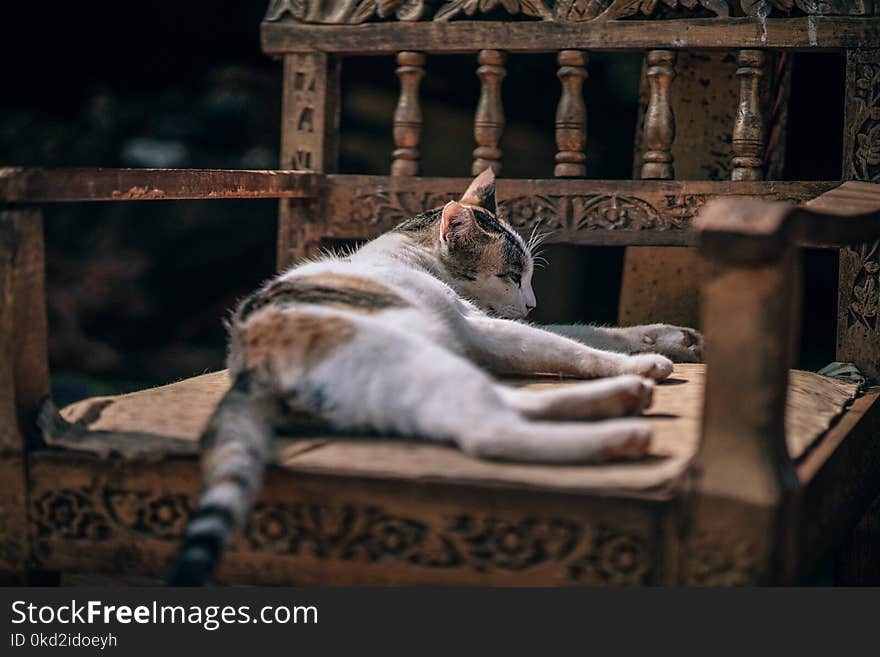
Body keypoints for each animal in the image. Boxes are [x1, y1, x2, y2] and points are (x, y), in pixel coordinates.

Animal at [167, 169, 700, 584]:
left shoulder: (492, 334)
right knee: (488, 431)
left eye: (528, 275)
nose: (531, 304)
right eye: (512, 276)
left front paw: (670, 339)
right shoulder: (481, 328)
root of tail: (251, 366)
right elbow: (570, 347)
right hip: (416, 360)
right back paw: (624, 428)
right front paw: (643, 362)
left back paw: (624, 401)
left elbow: (584, 331)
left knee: (508, 406)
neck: (408, 254)